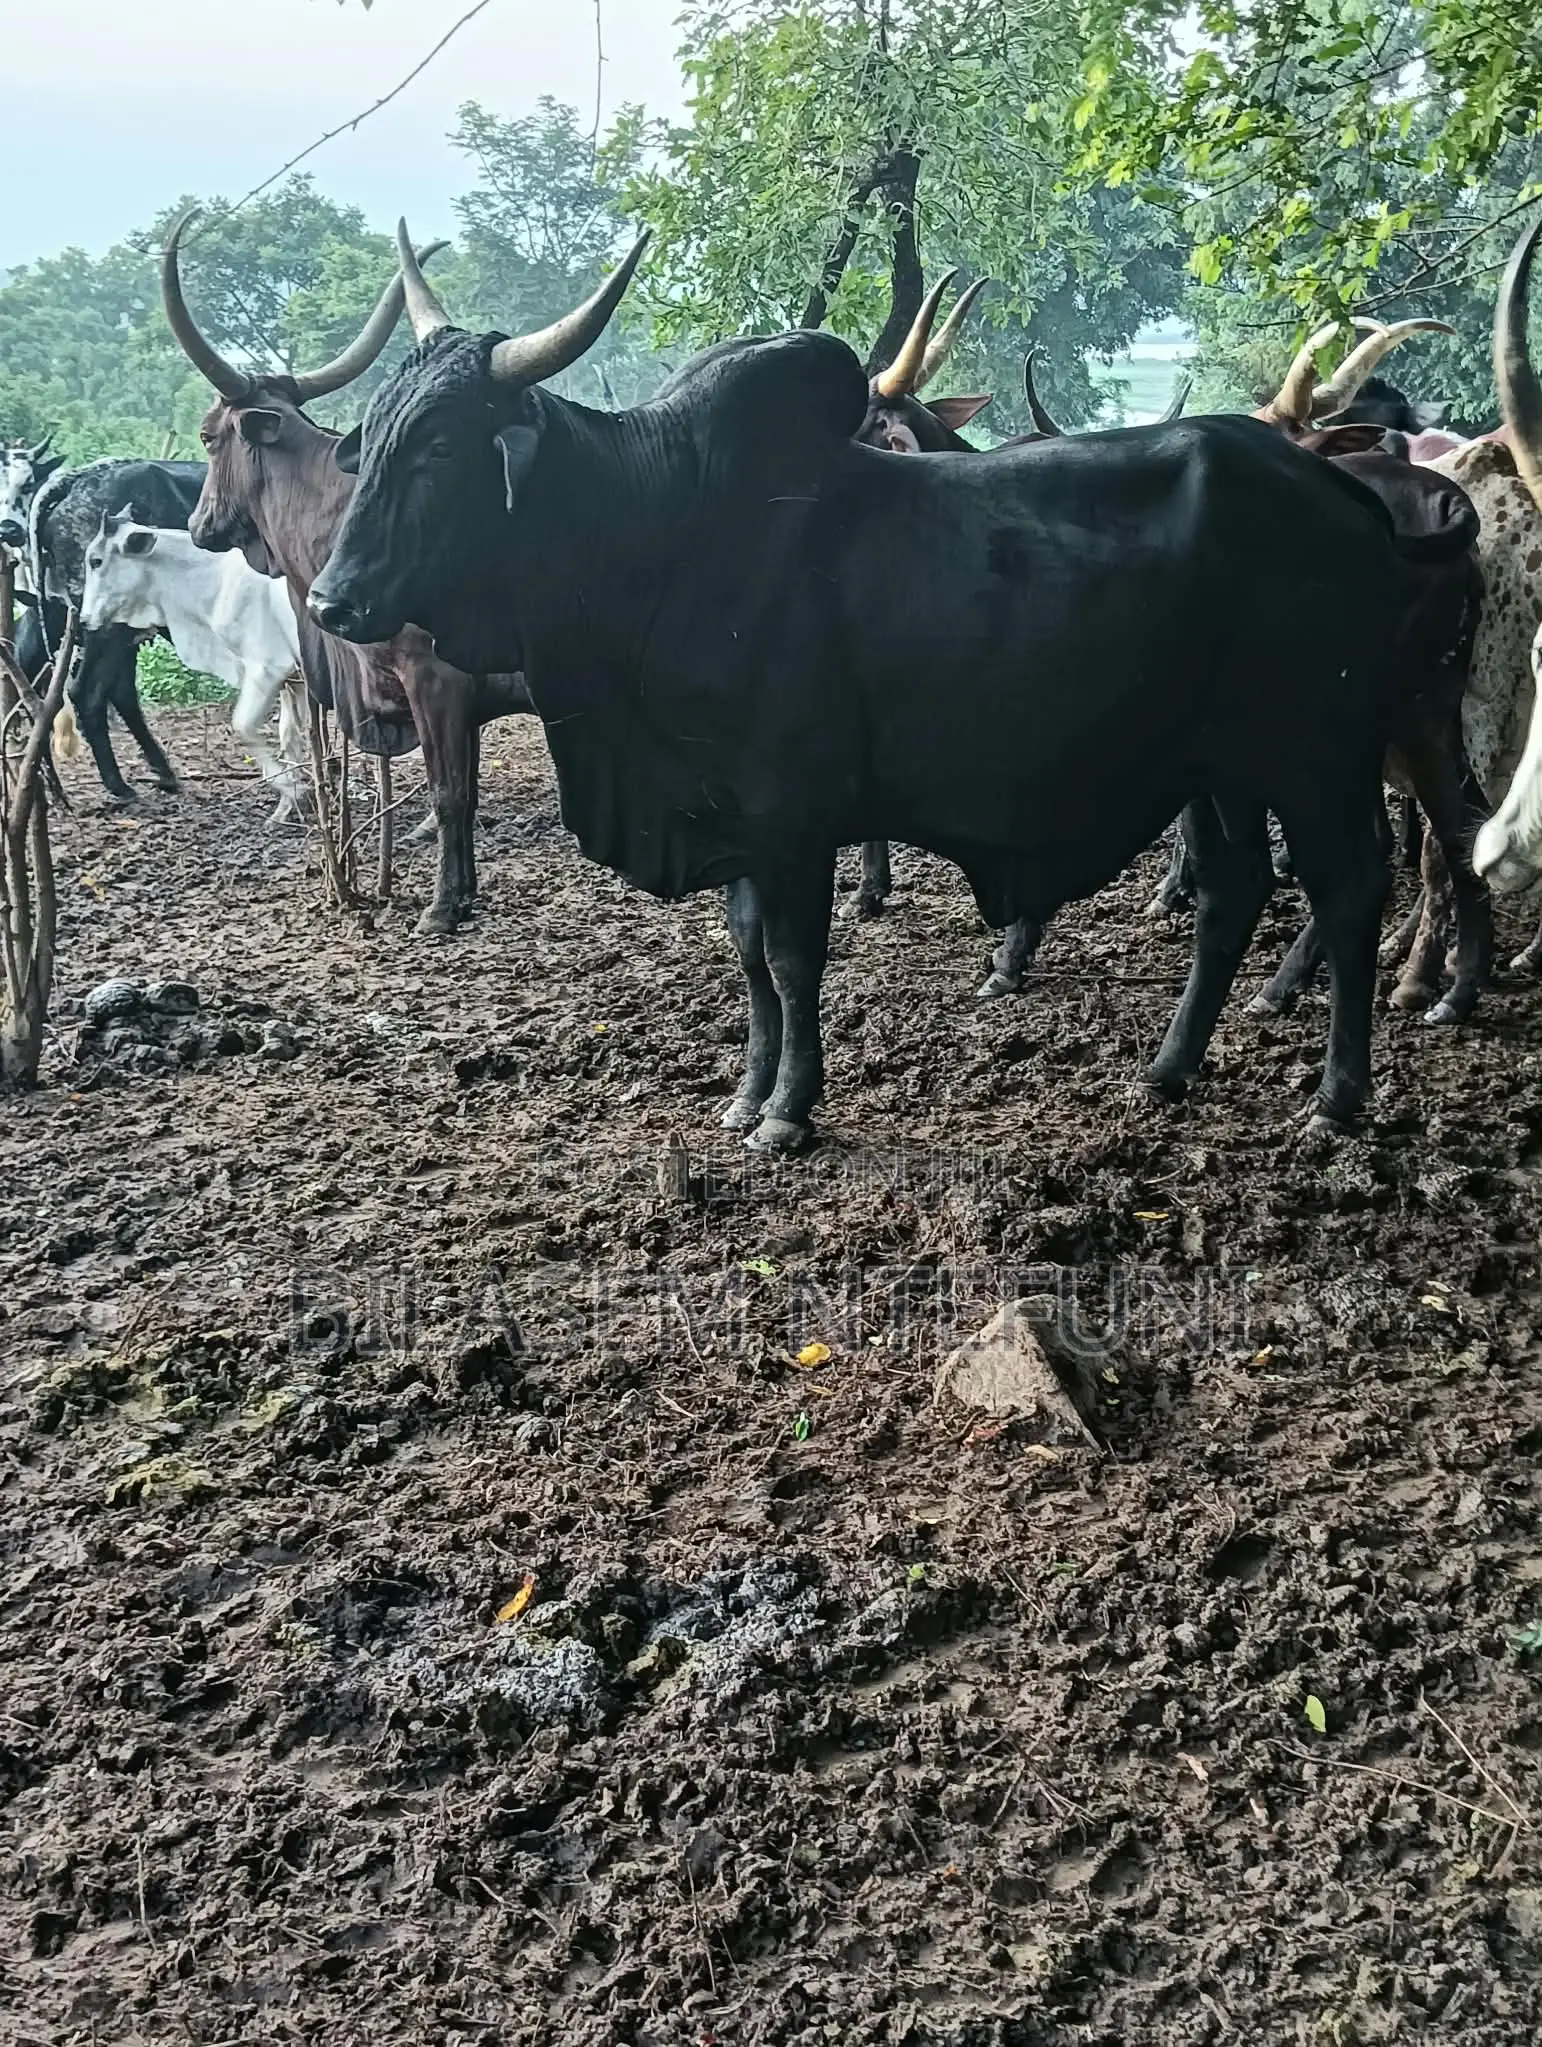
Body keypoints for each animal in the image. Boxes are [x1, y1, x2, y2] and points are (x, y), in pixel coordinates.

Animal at [80, 510, 310, 821]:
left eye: (96, 560)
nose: (84, 619)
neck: (217, 582)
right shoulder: (293, 681)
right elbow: (290, 737)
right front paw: (285, 809)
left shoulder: (267, 668)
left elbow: (243, 726)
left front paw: (292, 790)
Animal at [160, 215, 531, 935]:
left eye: (208, 436)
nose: (199, 524)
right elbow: (466, 791)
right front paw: (463, 892)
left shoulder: (436, 679)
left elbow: (448, 792)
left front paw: (442, 907)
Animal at [306, 225, 1437, 1156]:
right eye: (375, 435)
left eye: (439, 445)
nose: (329, 600)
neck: (658, 532)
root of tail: (1353, 499)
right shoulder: (734, 822)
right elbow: (749, 957)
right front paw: (746, 1093)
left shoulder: (791, 819)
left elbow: (794, 958)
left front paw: (789, 1110)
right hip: (1218, 769)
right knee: (1233, 890)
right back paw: (1168, 1069)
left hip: (1318, 758)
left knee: (1348, 889)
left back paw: (1336, 1099)